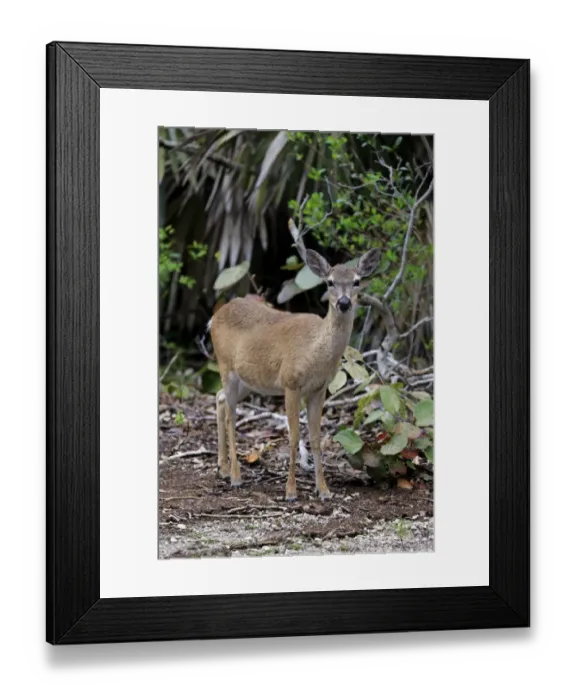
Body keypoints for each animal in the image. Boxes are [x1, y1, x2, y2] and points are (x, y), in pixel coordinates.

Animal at [209, 247, 381, 502]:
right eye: (329, 282)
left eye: (357, 281)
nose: (343, 302)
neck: (315, 350)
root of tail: (214, 318)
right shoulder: (291, 383)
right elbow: (293, 436)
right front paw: (290, 491)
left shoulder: (319, 388)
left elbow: (316, 438)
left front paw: (324, 490)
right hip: (225, 365)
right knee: (231, 415)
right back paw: (235, 476)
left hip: (247, 380)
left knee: (219, 398)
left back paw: (222, 468)